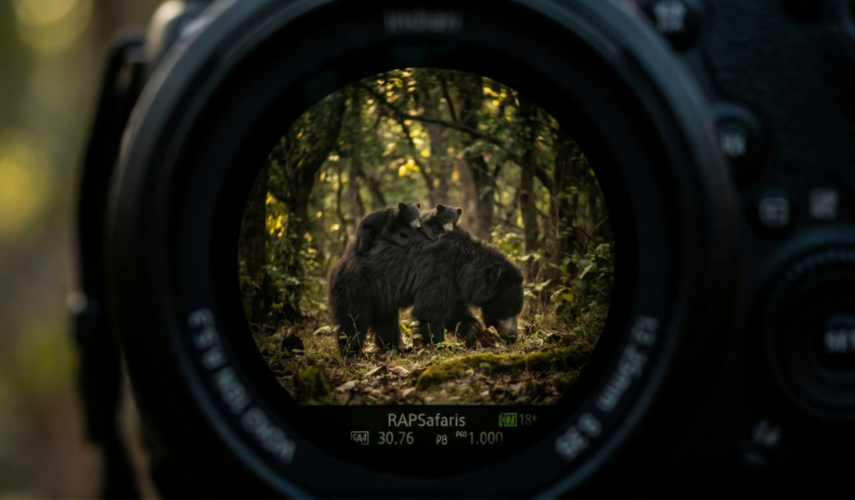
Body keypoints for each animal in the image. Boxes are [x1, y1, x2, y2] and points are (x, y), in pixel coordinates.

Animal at [328, 228, 524, 356]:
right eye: (508, 310)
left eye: (517, 311)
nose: (512, 337)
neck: (462, 267)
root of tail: (341, 261)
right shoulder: (437, 271)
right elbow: (430, 310)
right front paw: (442, 345)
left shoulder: (454, 286)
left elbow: (455, 312)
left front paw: (473, 332)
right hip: (358, 286)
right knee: (353, 320)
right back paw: (351, 351)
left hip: (381, 294)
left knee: (386, 321)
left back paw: (394, 348)